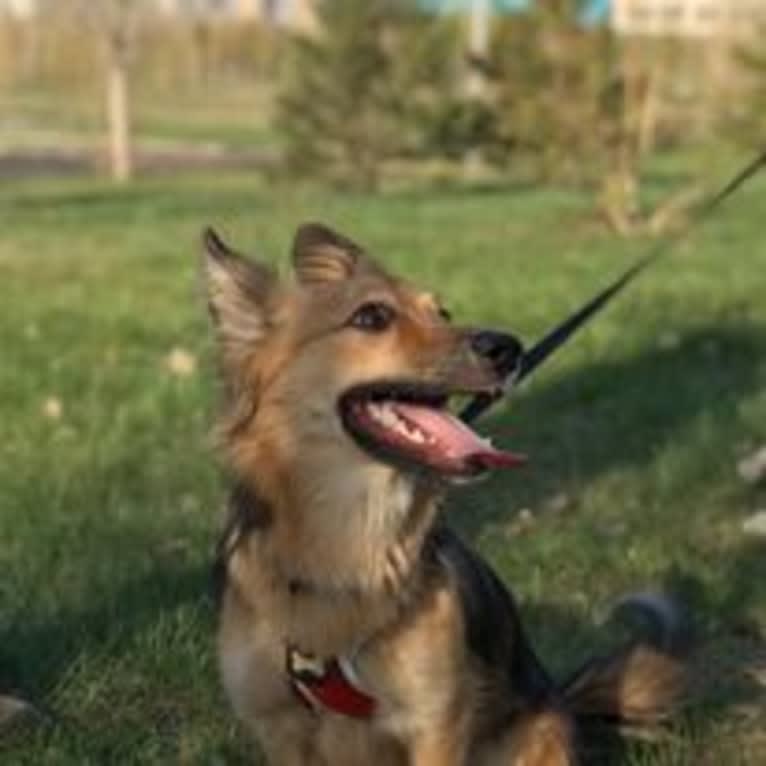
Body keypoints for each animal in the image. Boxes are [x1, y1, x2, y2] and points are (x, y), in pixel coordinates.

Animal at [201, 224, 688, 766]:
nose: (508, 348)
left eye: (444, 313)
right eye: (371, 317)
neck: (350, 550)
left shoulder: (437, 722)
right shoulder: (280, 728)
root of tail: (559, 697)